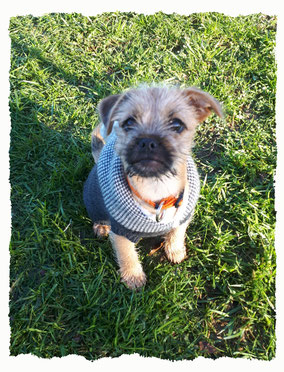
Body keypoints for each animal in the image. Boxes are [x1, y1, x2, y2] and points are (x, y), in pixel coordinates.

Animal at [83, 85, 223, 290]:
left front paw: (175, 250)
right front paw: (133, 277)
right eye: (129, 122)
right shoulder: (121, 233)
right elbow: (127, 255)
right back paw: (101, 226)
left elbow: (177, 233)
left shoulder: (183, 217)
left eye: (177, 125)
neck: (157, 190)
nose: (148, 141)